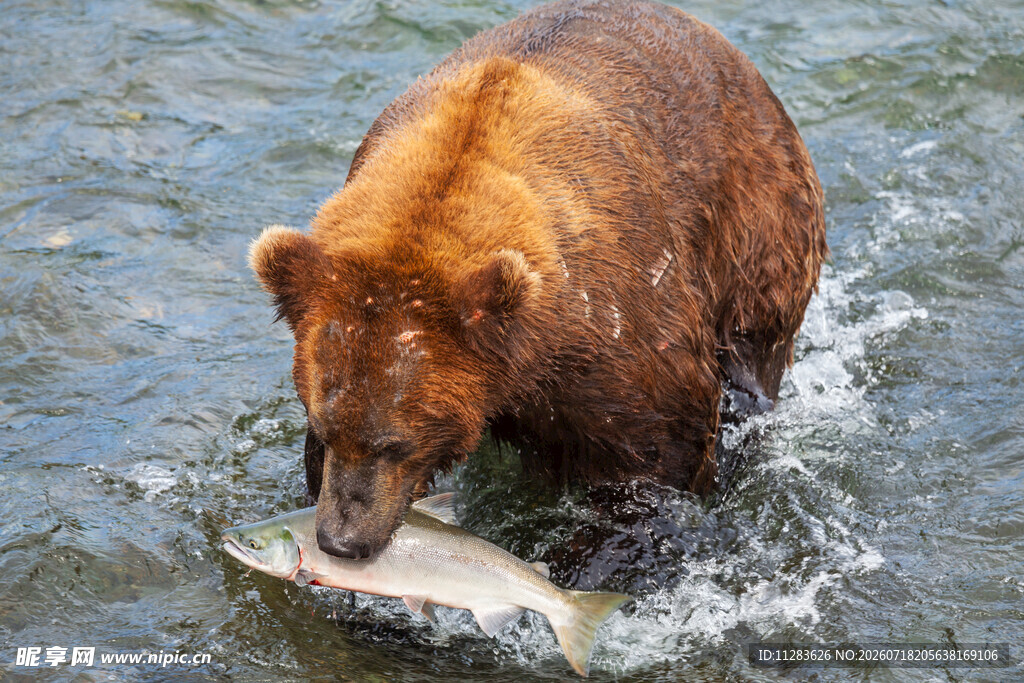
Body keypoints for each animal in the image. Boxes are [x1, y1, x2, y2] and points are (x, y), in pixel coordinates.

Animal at [249, 0, 826, 560]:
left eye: (397, 443)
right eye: (326, 427)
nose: (341, 540)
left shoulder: (618, 334)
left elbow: (652, 464)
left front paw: (608, 553)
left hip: (759, 225)